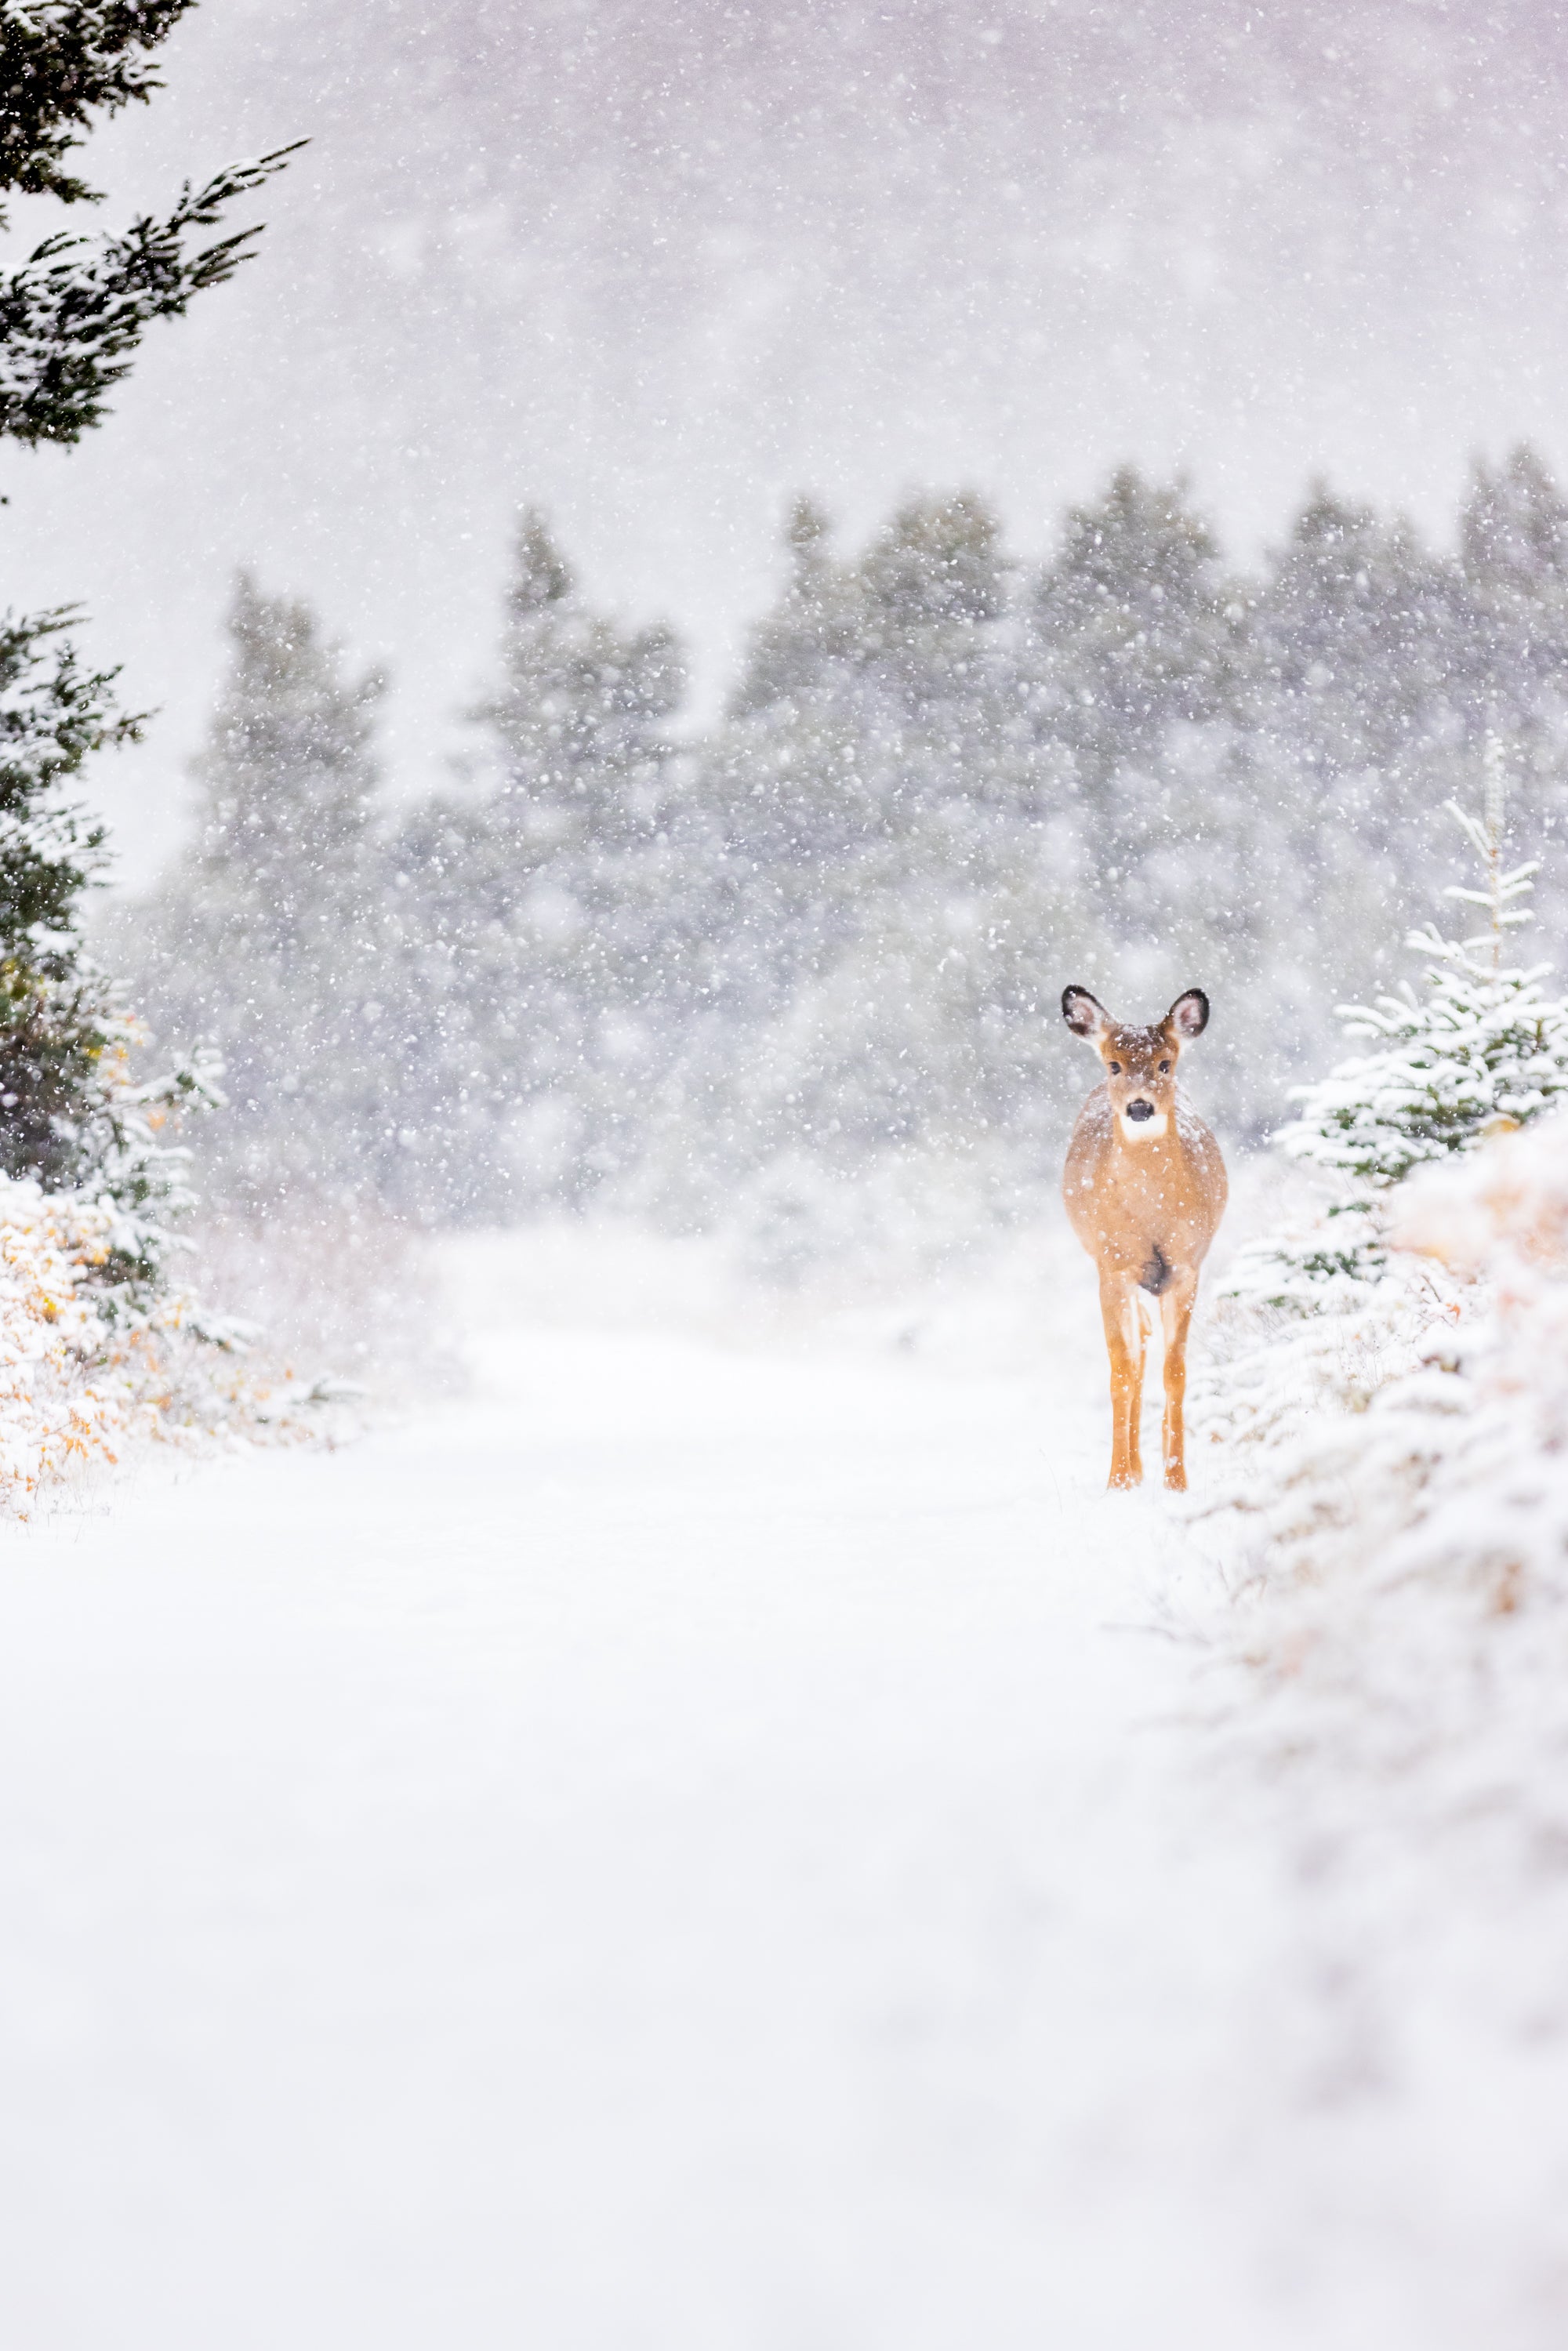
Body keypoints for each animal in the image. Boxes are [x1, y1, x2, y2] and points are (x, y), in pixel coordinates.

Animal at [1062, 987, 1232, 1486]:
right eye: (1114, 1065)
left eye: (1165, 1064)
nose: (1140, 1107)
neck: (1152, 1214)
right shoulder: (1112, 1267)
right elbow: (1122, 1371)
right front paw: (1119, 1481)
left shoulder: (1186, 1266)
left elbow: (1175, 1372)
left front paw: (1176, 1480)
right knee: (1136, 1356)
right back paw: (1134, 1468)